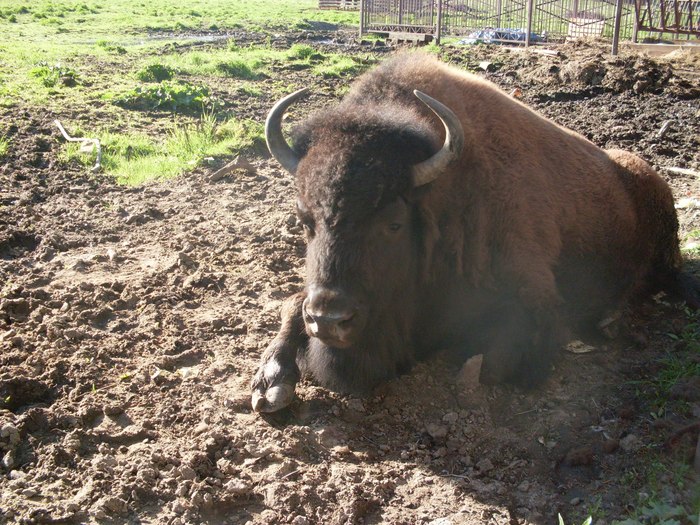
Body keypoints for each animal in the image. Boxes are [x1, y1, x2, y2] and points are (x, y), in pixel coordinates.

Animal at [250, 52, 696, 414]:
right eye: (304, 219)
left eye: (393, 223)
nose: (329, 320)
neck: (445, 196)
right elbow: (292, 303)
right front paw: (270, 384)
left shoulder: (534, 296)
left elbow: (492, 360)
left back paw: (609, 321)